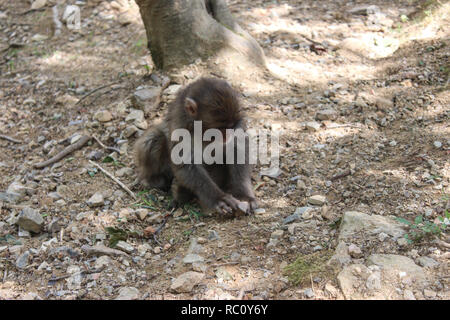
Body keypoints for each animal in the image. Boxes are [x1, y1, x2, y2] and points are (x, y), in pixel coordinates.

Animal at [134, 77, 256, 215]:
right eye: (220, 128)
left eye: (232, 125)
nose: (228, 135)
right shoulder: (181, 126)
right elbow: (185, 164)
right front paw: (219, 198)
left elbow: (238, 150)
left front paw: (244, 196)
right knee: (154, 138)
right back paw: (155, 180)